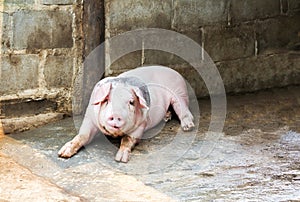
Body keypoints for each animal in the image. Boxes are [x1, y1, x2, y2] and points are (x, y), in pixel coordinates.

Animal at [58, 66, 195, 163]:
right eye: (107, 100)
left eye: (131, 102)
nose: (116, 115)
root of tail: (175, 72)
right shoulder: (89, 116)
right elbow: (83, 135)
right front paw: (63, 154)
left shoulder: (142, 123)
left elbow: (128, 139)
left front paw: (120, 159)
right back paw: (167, 117)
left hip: (179, 92)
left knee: (185, 110)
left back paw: (188, 127)